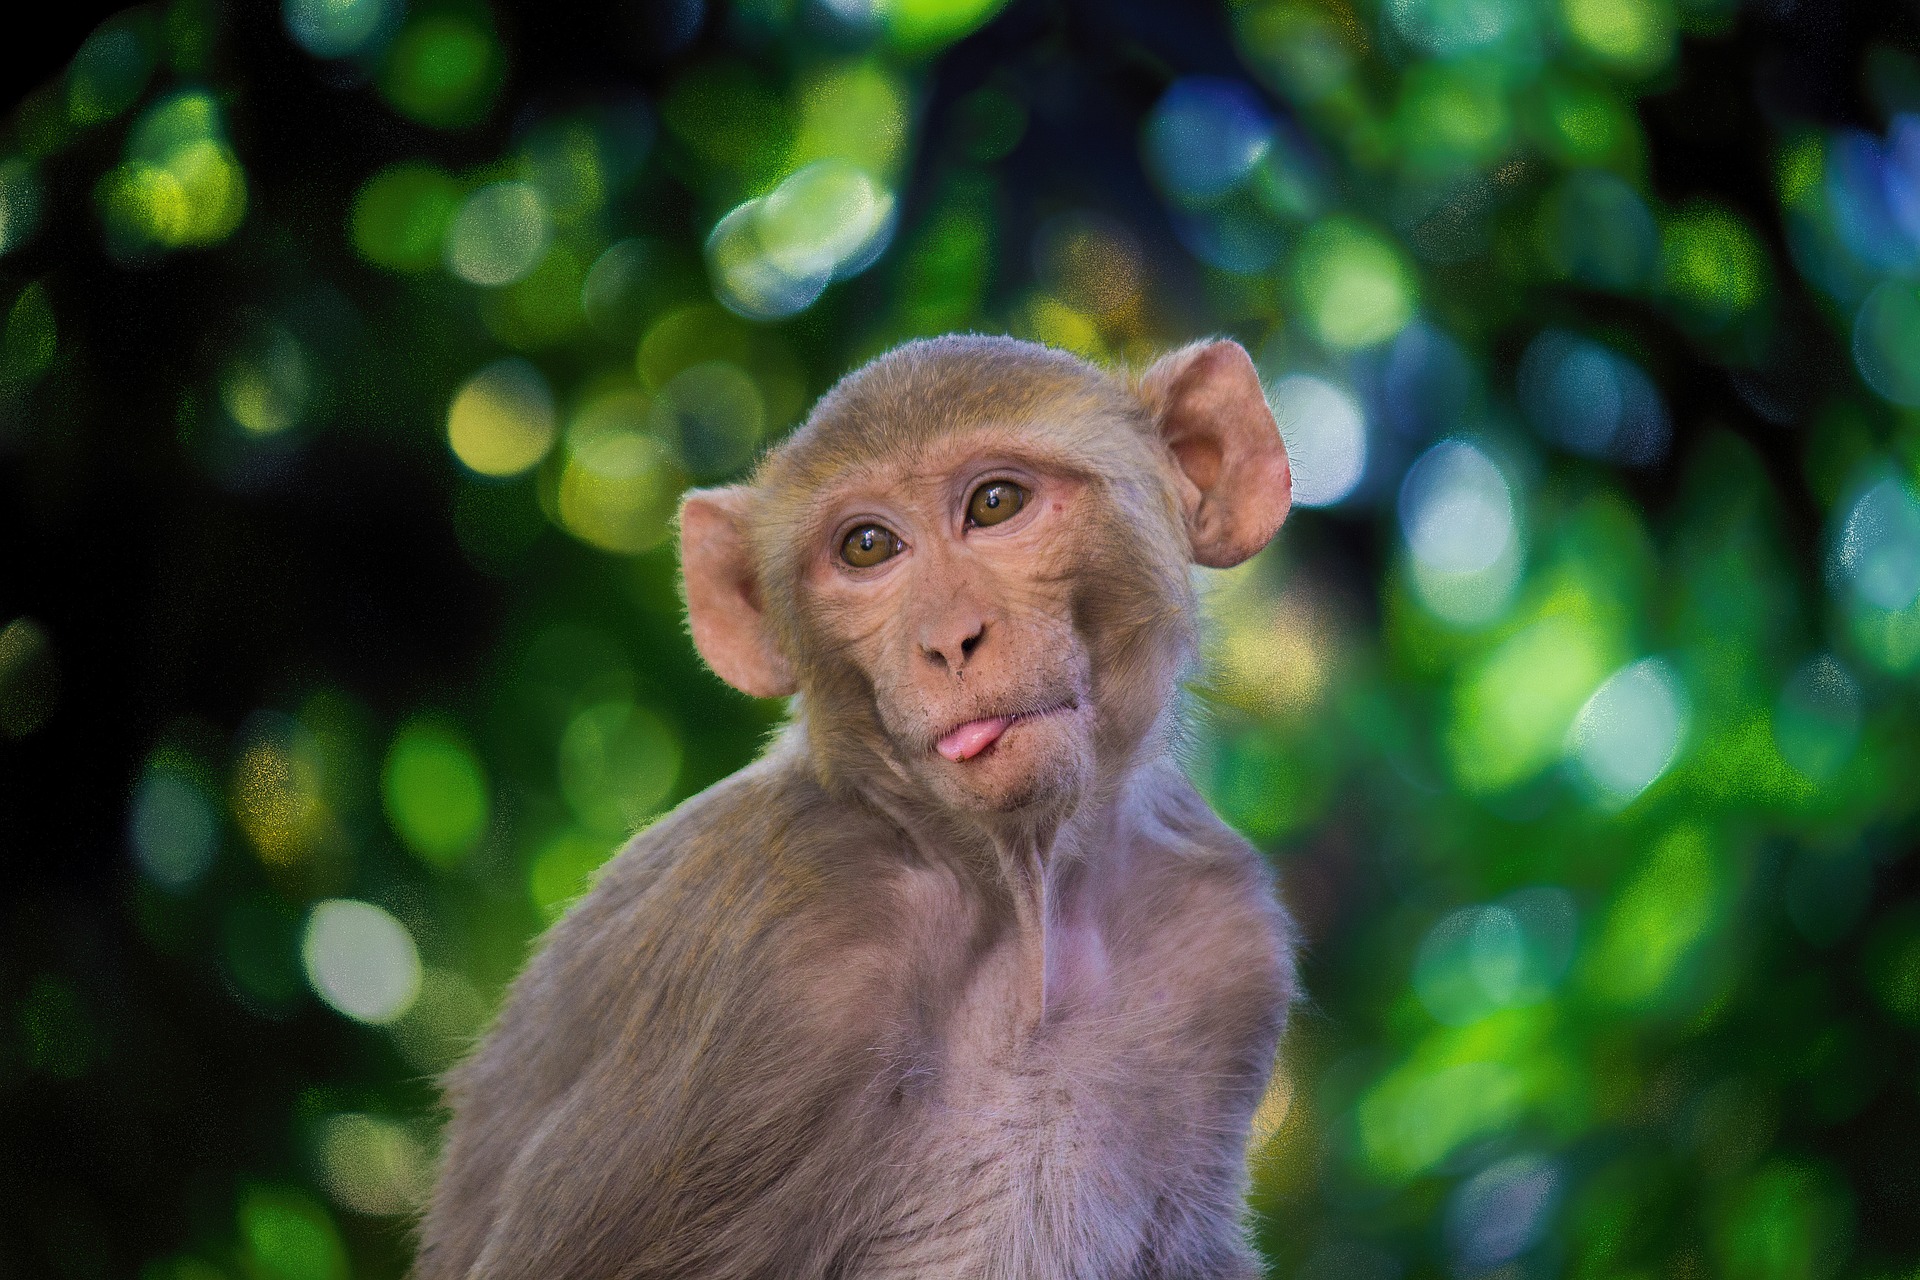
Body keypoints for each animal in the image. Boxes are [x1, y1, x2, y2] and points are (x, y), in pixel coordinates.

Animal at [412, 335, 1297, 1280]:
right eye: (869, 546)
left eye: (996, 503)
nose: (949, 640)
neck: (1019, 904)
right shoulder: (773, 957)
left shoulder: (1226, 937)